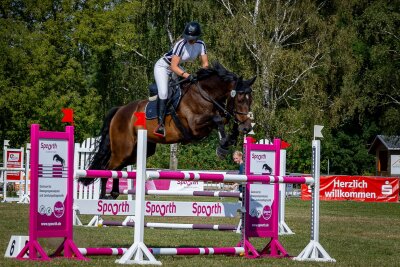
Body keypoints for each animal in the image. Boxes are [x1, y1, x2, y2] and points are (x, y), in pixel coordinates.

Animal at [79, 61, 255, 199]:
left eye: (250, 100)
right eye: (240, 99)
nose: (247, 127)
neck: (205, 94)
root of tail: (119, 110)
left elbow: (225, 119)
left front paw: (231, 138)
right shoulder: (194, 126)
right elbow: (218, 120)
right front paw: (223, 146)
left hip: (137, 151)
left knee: (117, 169)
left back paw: (114, 193)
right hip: (123, 149)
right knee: (107, 168)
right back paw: (103, 198)